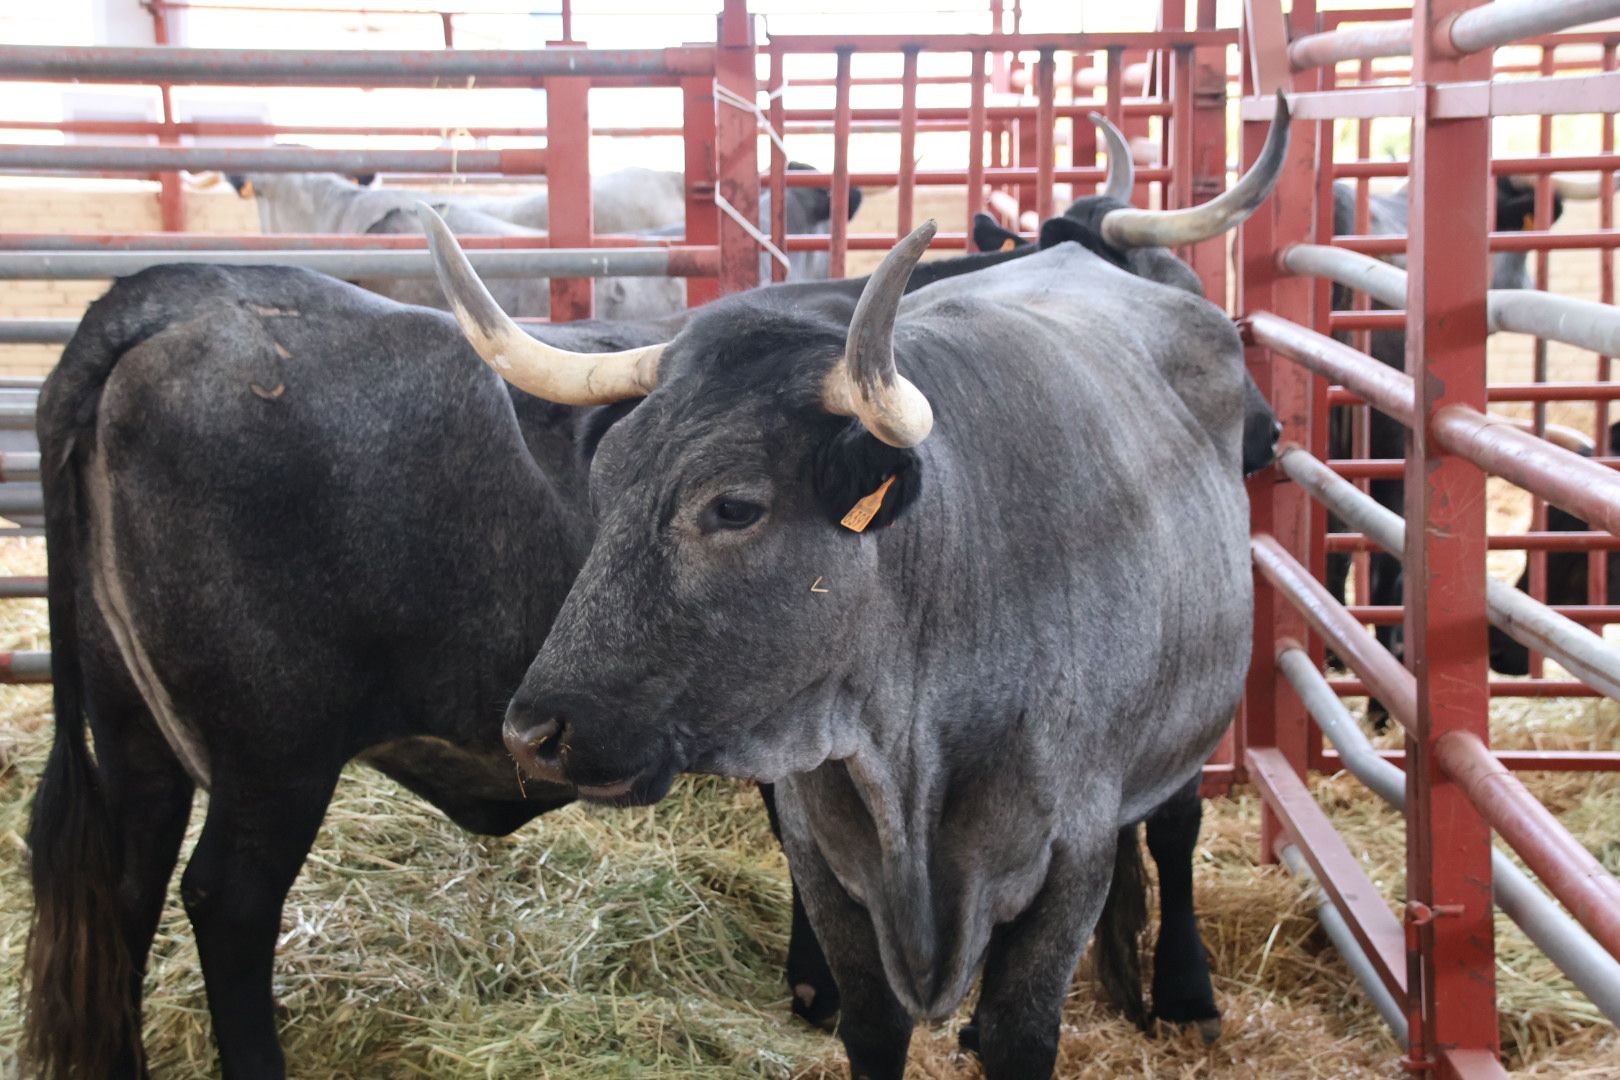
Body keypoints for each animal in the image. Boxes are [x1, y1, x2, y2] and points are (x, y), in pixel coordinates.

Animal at [427, 95, 1289, 1080]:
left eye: (734, 506)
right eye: (604, 484)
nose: (534, 734)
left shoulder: (1069, 859)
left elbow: (1023, 1029)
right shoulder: (826, 862)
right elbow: (872, 1026)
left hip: (1191, 715)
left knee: (1178, 825)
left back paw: (1188, 994)